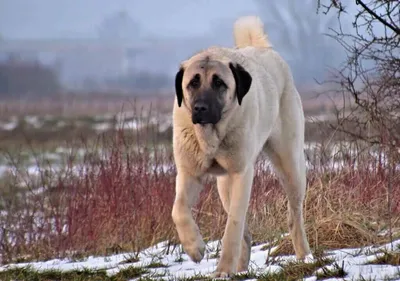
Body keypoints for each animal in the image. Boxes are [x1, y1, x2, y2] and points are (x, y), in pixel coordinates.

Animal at [170, 14, 310, 276]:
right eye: (193, 83)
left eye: (219, 83)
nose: (200, 108)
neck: (212, 136)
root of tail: (264, 49)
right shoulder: (189, 173)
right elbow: (178, 210)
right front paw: (195, 248)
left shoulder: (241, 173)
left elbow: (233, 226)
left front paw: (223, 268)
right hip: (225, 185)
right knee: (246, 233)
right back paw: (242, 269)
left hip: (290, 167)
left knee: (294, 217)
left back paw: (304, 257)